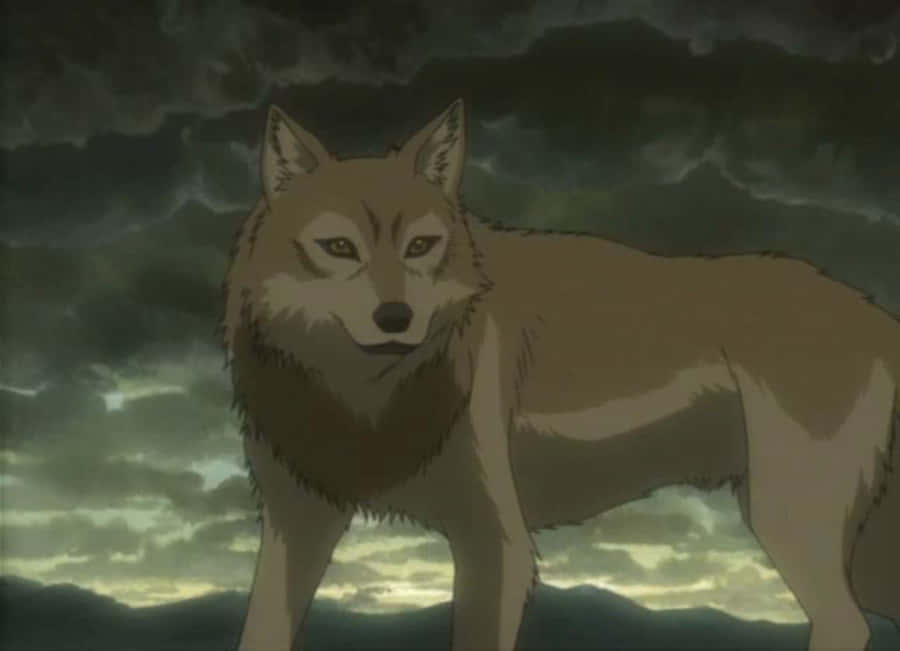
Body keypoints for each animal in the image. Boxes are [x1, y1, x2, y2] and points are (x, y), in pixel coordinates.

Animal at [222, 99, 900, 651]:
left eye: (419, 247)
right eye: (339, 248)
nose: (396, 318)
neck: (361, 400)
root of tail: (874, 312)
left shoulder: (495, 546)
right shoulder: (295, 529)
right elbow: (260, 632)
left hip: (789, 519)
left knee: (846, 624)